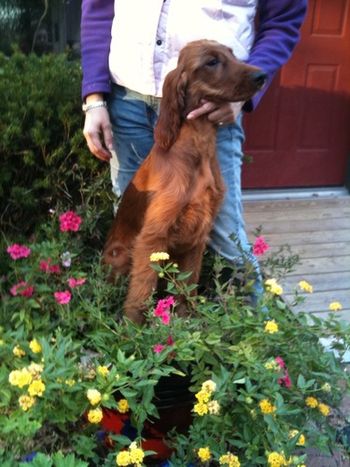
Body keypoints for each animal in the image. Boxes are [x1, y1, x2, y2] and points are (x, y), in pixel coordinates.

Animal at [102, 40, 266, 324]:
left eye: (233, 54)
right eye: (211, 62)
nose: (262, 76)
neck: (198, 150)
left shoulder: (196, 238)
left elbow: (187, 285)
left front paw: (184, 319)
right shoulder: (153, 237)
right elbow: (141, 288)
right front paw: (134, 328)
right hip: (120, 254)